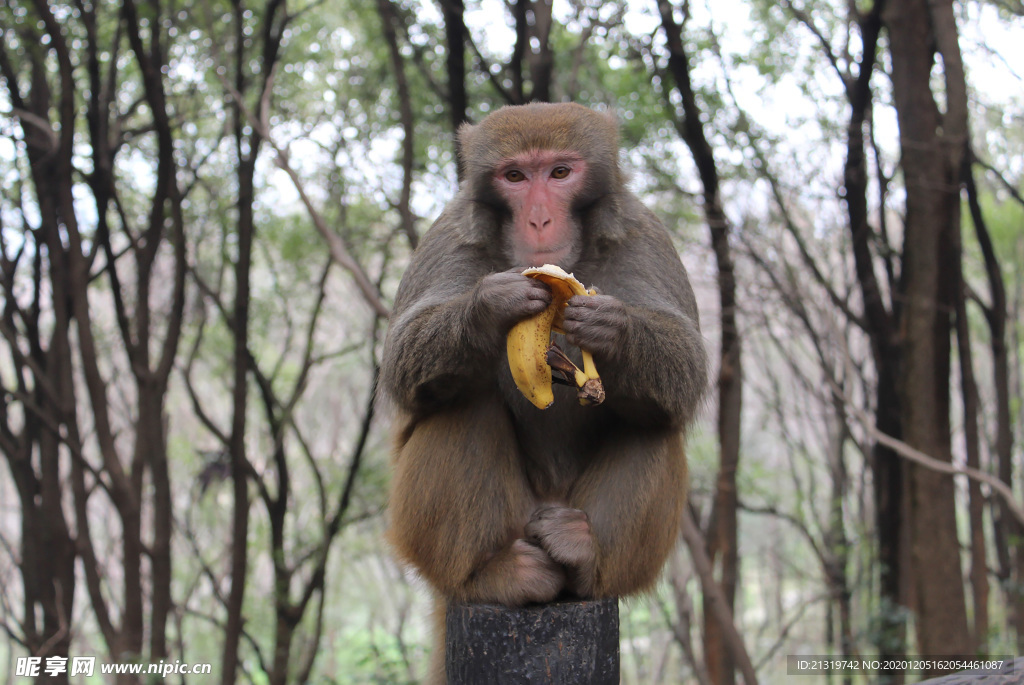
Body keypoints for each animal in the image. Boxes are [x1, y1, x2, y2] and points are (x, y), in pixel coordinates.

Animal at [380, 102, 708, 671]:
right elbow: (402, 360)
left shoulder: (642, 232)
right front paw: (489, 307)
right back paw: (491, 574)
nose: (538, 220)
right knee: (463, 404)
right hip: (464, 528)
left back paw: (583, 557)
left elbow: (686, 366)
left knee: (652, 421)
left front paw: (614, 329)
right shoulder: (450, 234)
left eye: (559, 173)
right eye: (514, 177)